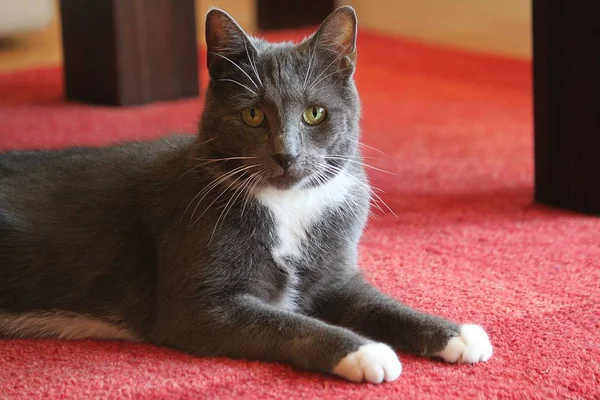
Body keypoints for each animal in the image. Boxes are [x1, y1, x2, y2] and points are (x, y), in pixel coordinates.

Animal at [0, 5, 490, 382]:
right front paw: (364, 351)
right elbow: (288, 324)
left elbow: (379, 303)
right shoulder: (200, 307)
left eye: (315, 113)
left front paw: (456, 334)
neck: (288, 204)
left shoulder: (336, 276)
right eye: (253, 115)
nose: (287, 155)